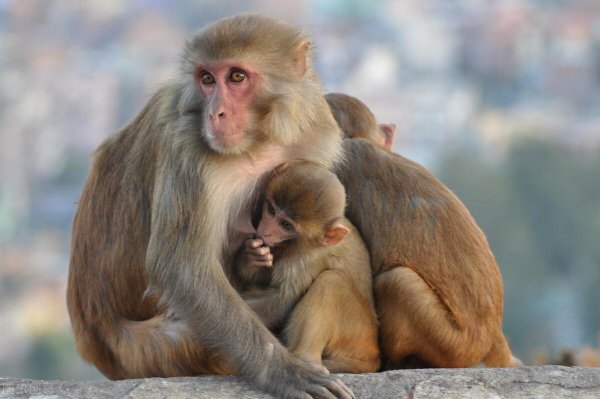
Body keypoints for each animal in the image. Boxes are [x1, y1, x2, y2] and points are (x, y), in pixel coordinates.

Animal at [68, 13, 354, 399]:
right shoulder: (186, 144)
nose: (215, 113)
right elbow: (181, 266)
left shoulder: (314, 135)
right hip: (147, 350)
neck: (260, 142)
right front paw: (282, 370)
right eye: (206, 79)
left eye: (237, 77)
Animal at [231, 161, 378, 374]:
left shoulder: (308, 260)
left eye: (286, 225)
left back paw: (307, 359)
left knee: (331, 281)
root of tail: (373, 356)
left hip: (356, 334)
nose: (265, 231)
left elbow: (281, 300)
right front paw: (251, 257)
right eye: (272, 210)